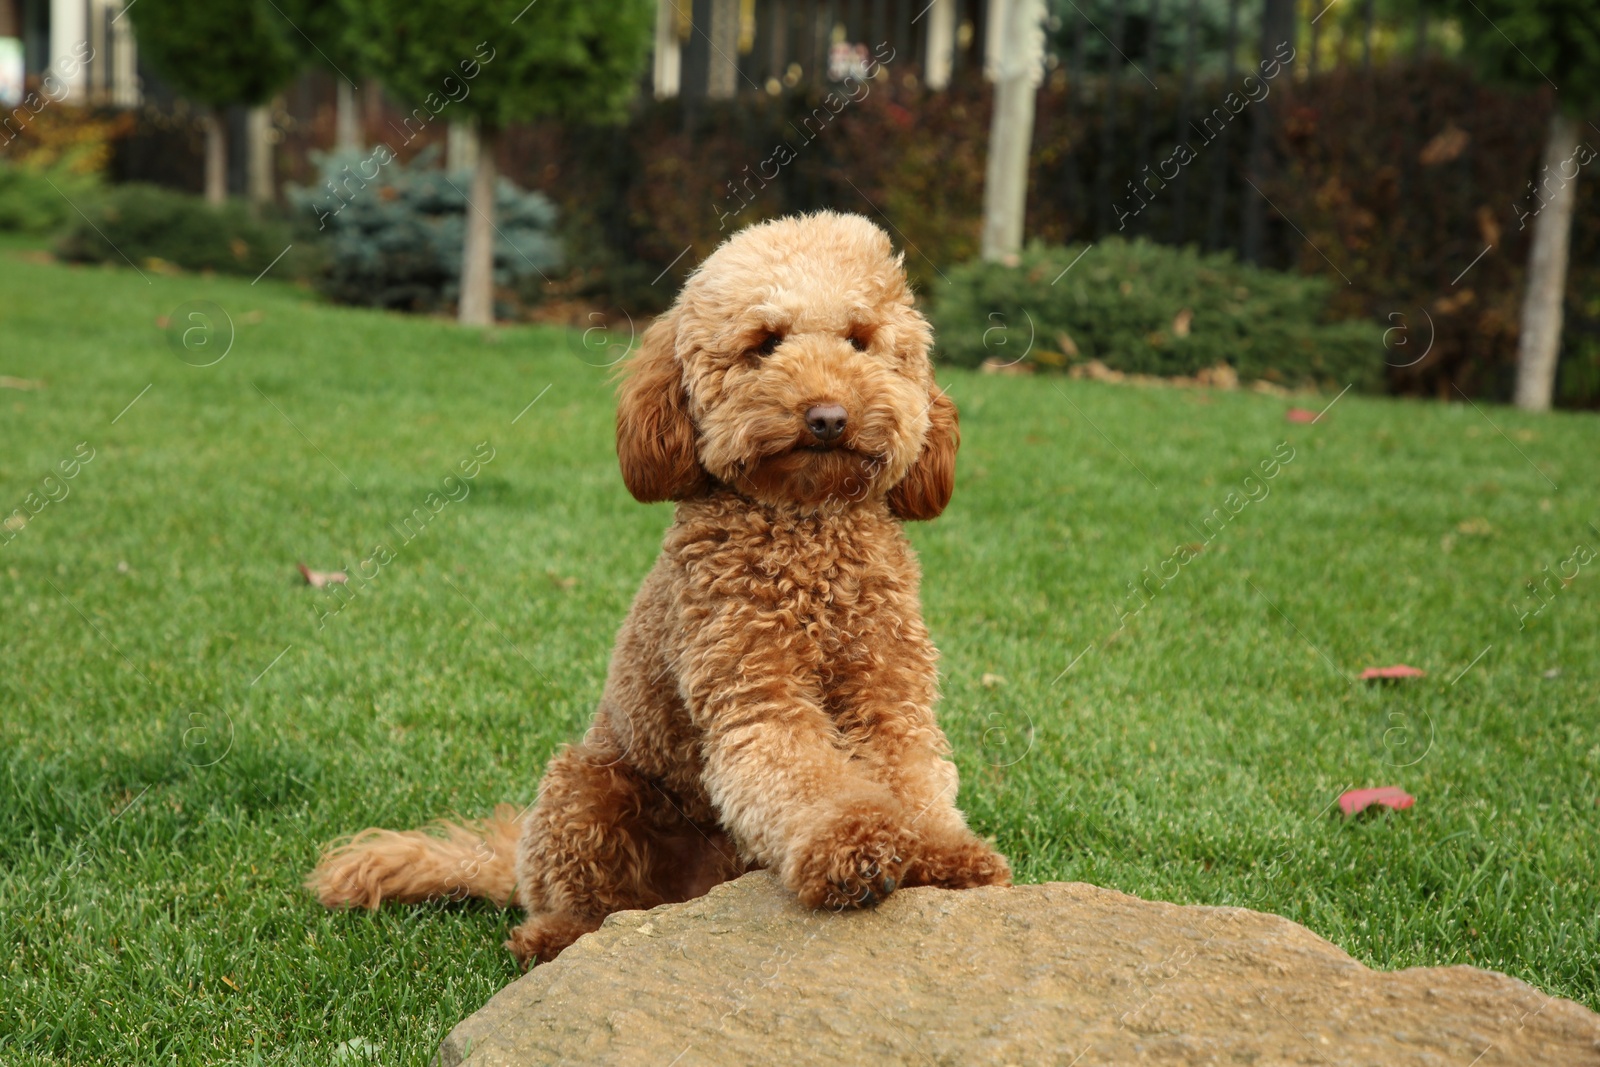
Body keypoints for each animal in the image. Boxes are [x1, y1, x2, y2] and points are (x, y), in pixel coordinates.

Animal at [308, 207, 1011, 966]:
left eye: (860, 340)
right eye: (764, 344)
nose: (827, 416)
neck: (807, 529)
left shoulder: (889, 690)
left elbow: (913, 771)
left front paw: (947, 855)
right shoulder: (758, 696)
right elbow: (802, 774)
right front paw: (852, 848)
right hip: (585, 787)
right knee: (576, 903)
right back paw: (559, 934)